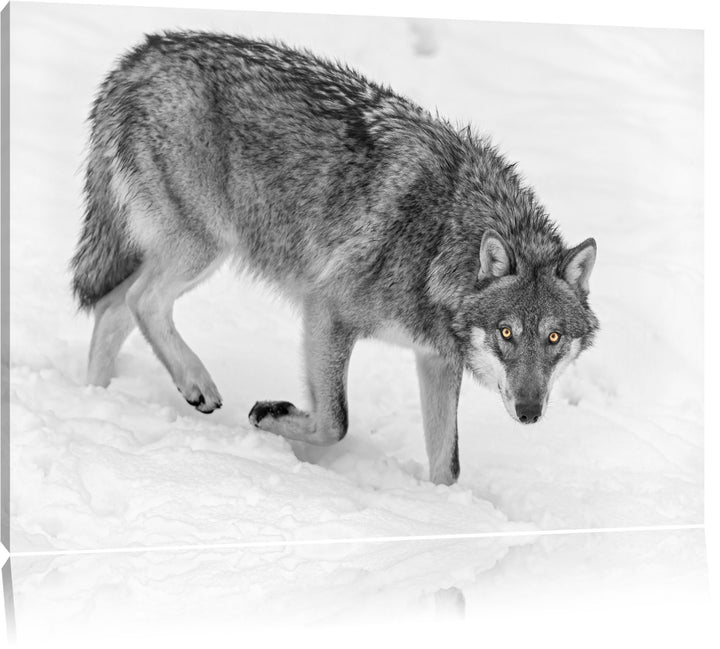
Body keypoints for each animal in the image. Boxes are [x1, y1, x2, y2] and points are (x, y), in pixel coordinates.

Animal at [71, 31, 598, 485]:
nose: (529, 412)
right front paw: (270, 417)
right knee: (141, 301)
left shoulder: (435, 358)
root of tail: (141, 55)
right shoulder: (327, 308)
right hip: (205, 246)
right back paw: (194, 383)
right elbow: (336, 422)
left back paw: (92, 401)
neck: (441, 240)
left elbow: (446, 466)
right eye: (507, 333)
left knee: (112, 307)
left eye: (553, 338)